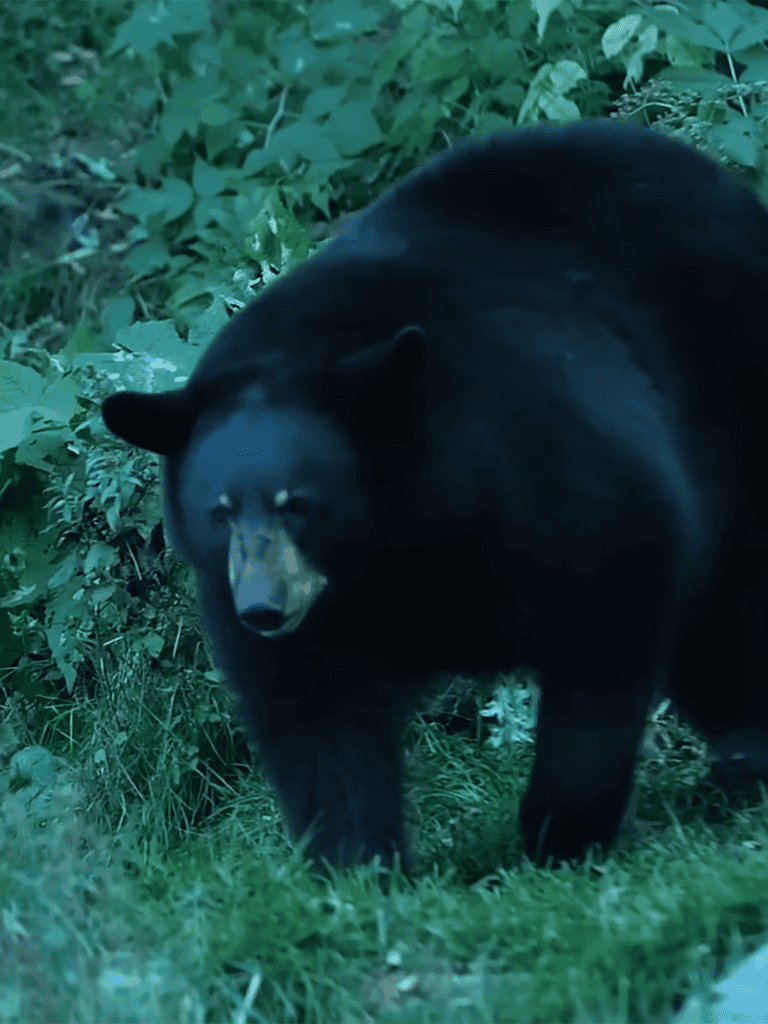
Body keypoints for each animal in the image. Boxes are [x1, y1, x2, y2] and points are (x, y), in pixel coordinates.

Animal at [102, 120, 768, 869]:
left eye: (298, 502)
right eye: (218, 513)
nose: (265, 608)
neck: (392, 539)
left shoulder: (532, 460)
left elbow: (612, 600)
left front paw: (558, 833)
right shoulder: (277, 607)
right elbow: (314, 720)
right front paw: (357, 863)